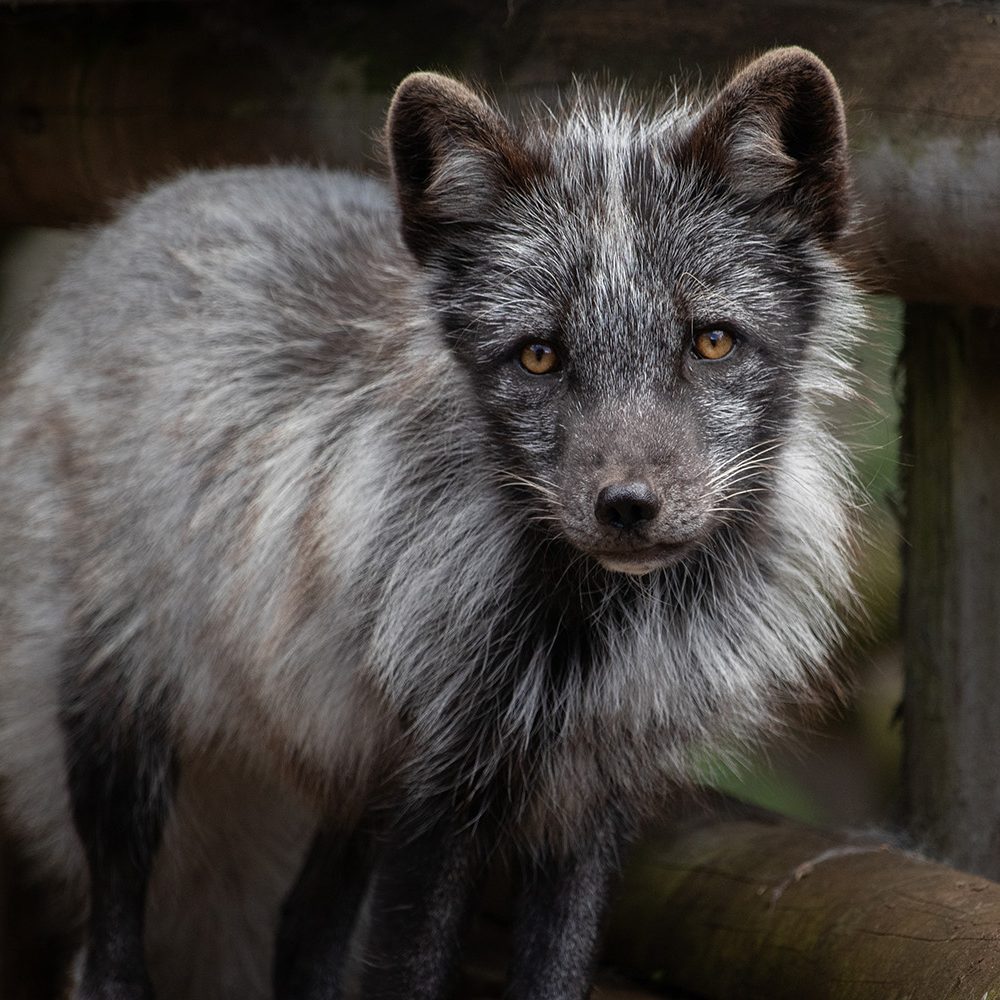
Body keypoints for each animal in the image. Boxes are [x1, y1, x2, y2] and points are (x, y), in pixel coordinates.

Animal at [0, 47, 860, 1000]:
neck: (594, 642)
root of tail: (141, 210)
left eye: (711, 341)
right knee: (112, 949)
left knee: (302, 929)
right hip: (124, 721)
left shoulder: (589, 794)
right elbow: (407, 974)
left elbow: (554, 976)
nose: (628, 508)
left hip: (350, 779)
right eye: (539, 355)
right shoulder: (437, 799)